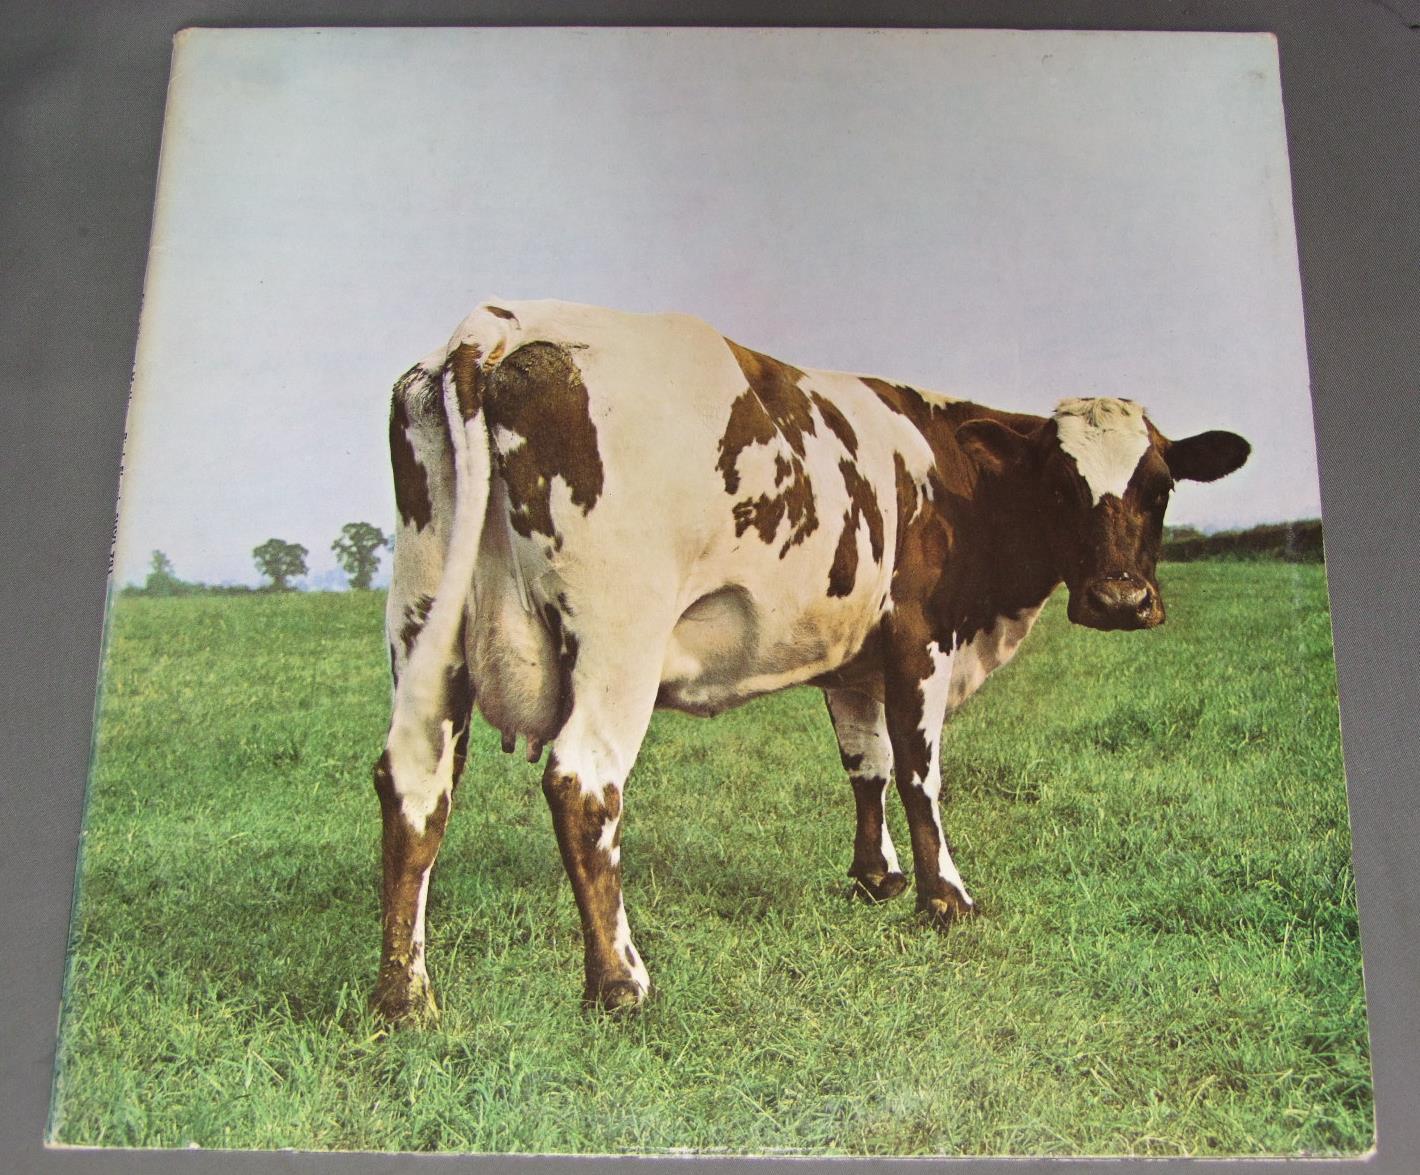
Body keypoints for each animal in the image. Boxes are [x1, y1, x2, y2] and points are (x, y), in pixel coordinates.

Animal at [370, 298, 1250, 1023]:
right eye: (1063, 486)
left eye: (1161, 487)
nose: (1120, 599)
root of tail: (498, 327)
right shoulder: (921, 636)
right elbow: (920, 771)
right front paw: (945, 897)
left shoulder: (852, 659)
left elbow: (866, 763)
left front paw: (875, 877)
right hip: (618, 636)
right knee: (583, 784)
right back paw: (620, 982)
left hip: (422, 617)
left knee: (414, 779)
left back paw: (404, 996)